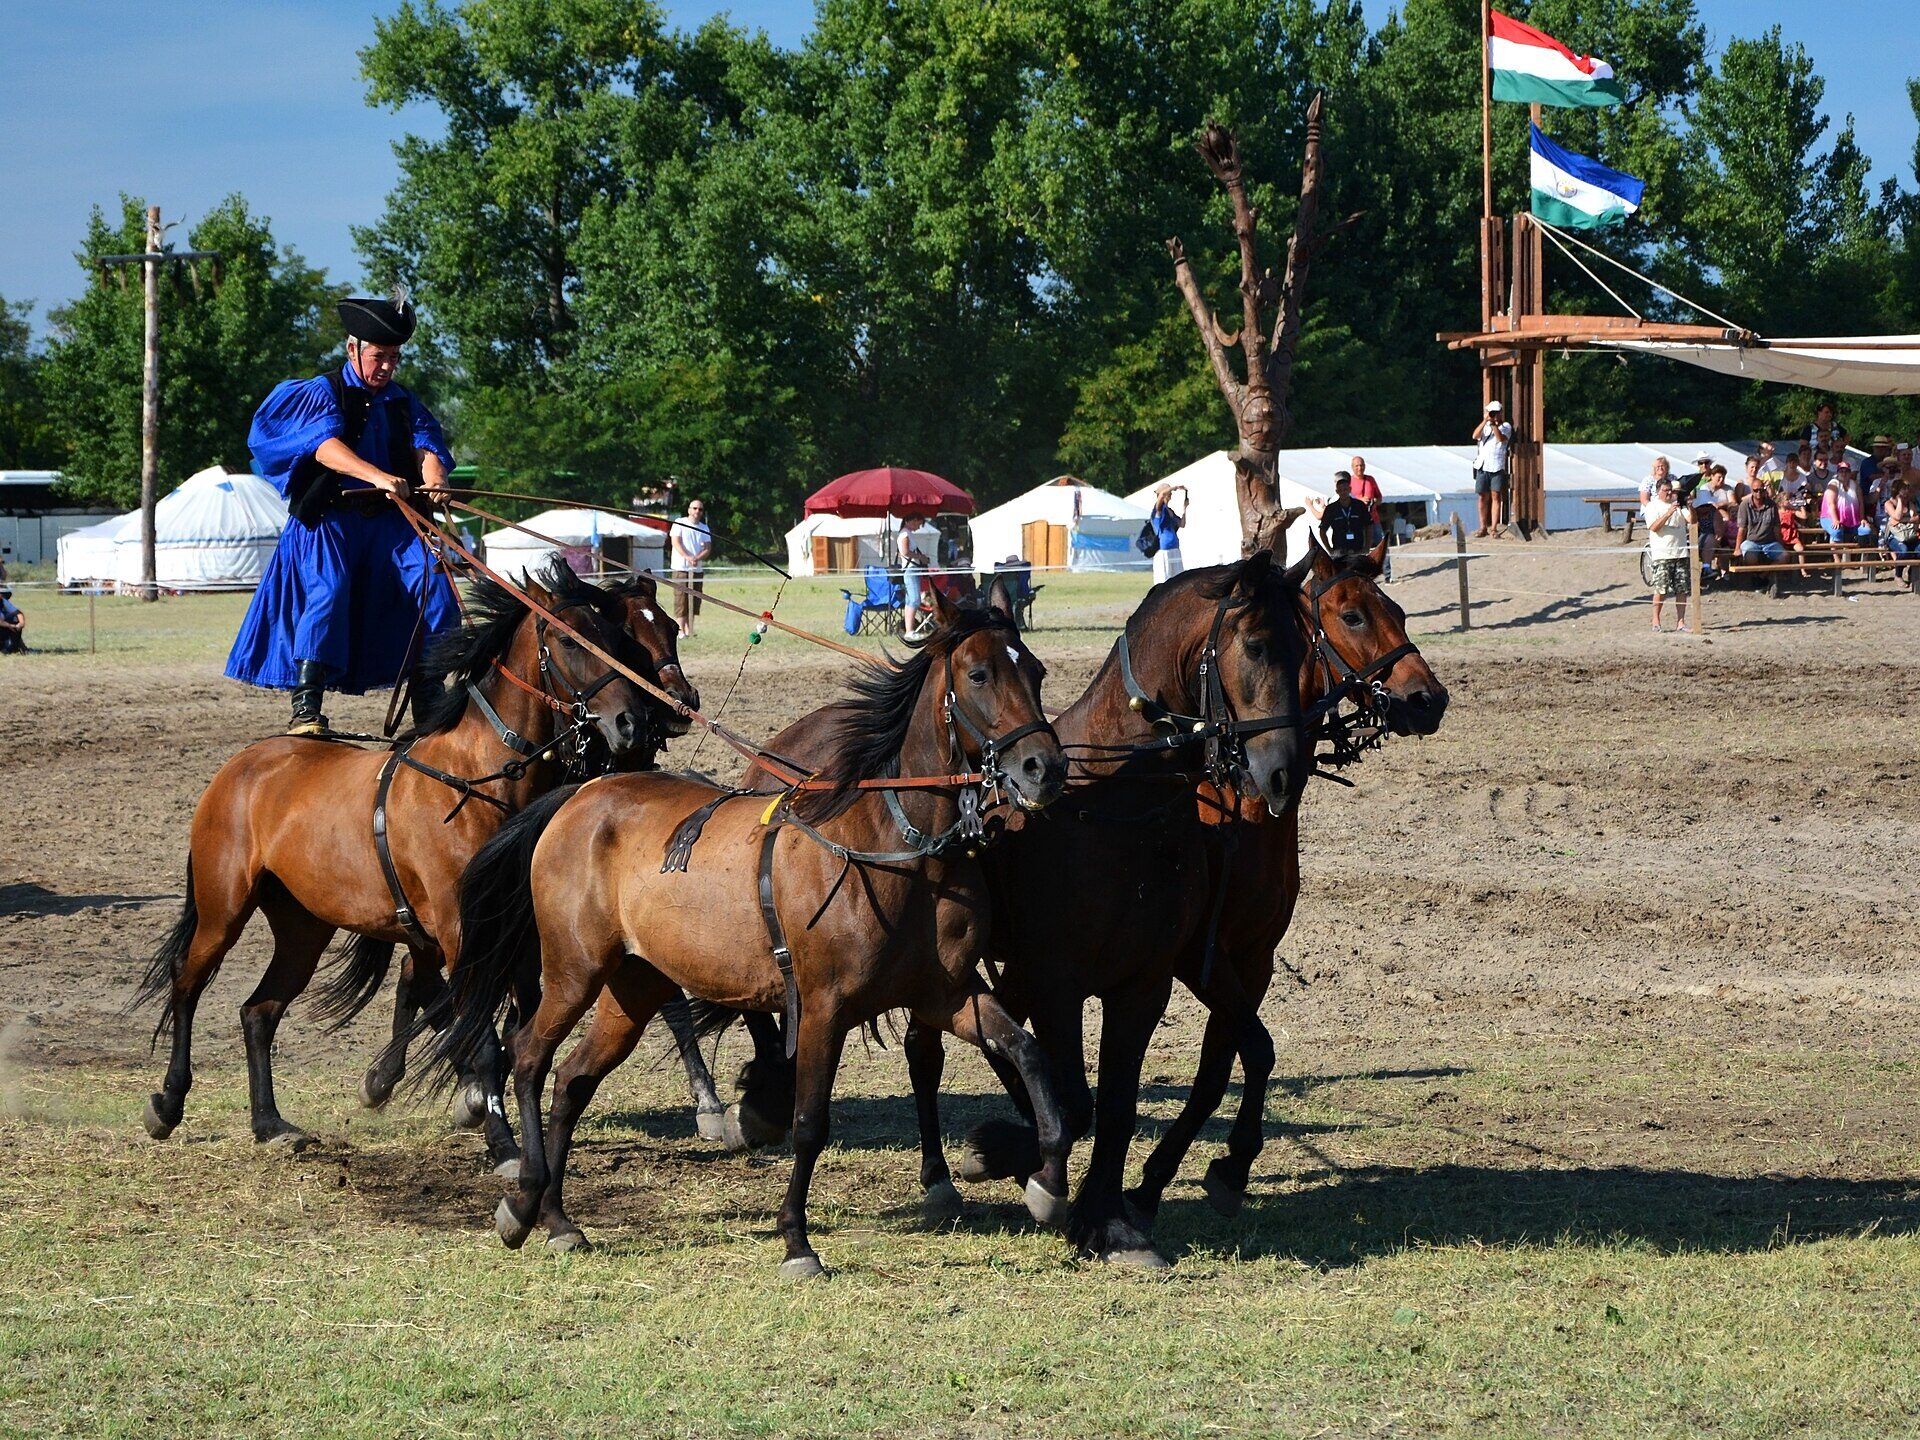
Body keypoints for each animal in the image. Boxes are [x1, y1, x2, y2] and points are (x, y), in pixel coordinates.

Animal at [134, 559, 691, 1159]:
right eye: (570, 640)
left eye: (614, 638)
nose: (633, 723)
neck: (477, 779)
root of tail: (243, 764)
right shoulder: (460, 932)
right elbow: (481, 1037)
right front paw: (503, 1145)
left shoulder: (513, 937)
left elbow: (510, 1028)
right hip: (223, 909)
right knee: (187, 981)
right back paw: (168, 1102)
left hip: (303, 926)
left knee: (259, 1011)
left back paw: (270, 1122)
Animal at [425, 590, 1070, 1275]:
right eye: (978, 675)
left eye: (1036, 673)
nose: (1045, 768)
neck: (898, 845)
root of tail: (579, 797)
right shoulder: (822, 1007)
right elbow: (810, 1122)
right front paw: (796, 1240)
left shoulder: (945, 993)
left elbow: (1027, 1053)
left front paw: (1048, 1184)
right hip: (575, 972)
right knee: (528, 1056)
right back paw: (523, 1199)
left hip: (634, 988)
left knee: (572, 1080)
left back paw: (556, 1217)